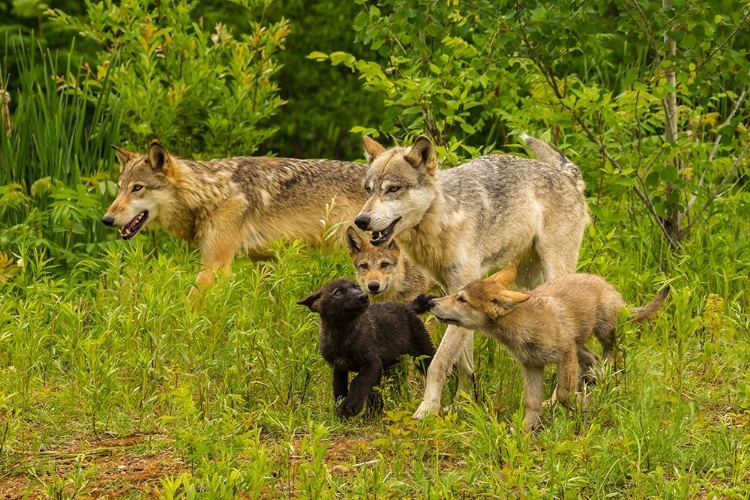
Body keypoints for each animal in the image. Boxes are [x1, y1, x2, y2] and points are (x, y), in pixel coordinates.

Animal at [102, 141, 368, 292]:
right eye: (120, 188)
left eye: (137, 188)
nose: (106, 220)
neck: (211, 192)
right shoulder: (264, 261)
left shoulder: (214, 268)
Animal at [300, 280, 438, 416]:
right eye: (338, 292)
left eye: (356, 287)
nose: (363, 297)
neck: (342, 335)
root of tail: (408, 306)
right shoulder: (339, 368)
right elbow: (339, 389)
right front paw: (340, 415)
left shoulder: (372, 363)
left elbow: (358, 381)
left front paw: (348, 406)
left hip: (422, 352)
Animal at [356, 132, 592, 418]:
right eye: (369, 190)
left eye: (393, 189)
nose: (361, 221)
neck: (441, 219)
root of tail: (568, 175)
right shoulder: (453, 298)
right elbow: (463, 365)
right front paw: (462, 405)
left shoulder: (460, 291)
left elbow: (438, 364)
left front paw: (427, 410)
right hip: (528, 282)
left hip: (555, 271)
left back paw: (556, 401)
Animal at [428, 264, 668, 432]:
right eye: (456, 294)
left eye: (462, 299)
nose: (431, 302)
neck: (524, 327)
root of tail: (607, 285)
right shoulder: (532, 365)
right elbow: (532, 401)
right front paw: (526, 429)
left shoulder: (565, 355)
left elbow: (563, 394)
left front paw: (582, 405)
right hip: (579, 344)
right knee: (593, 359)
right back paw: (596, 383)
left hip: (604, 332)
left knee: (612, 355)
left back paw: (608, 381)